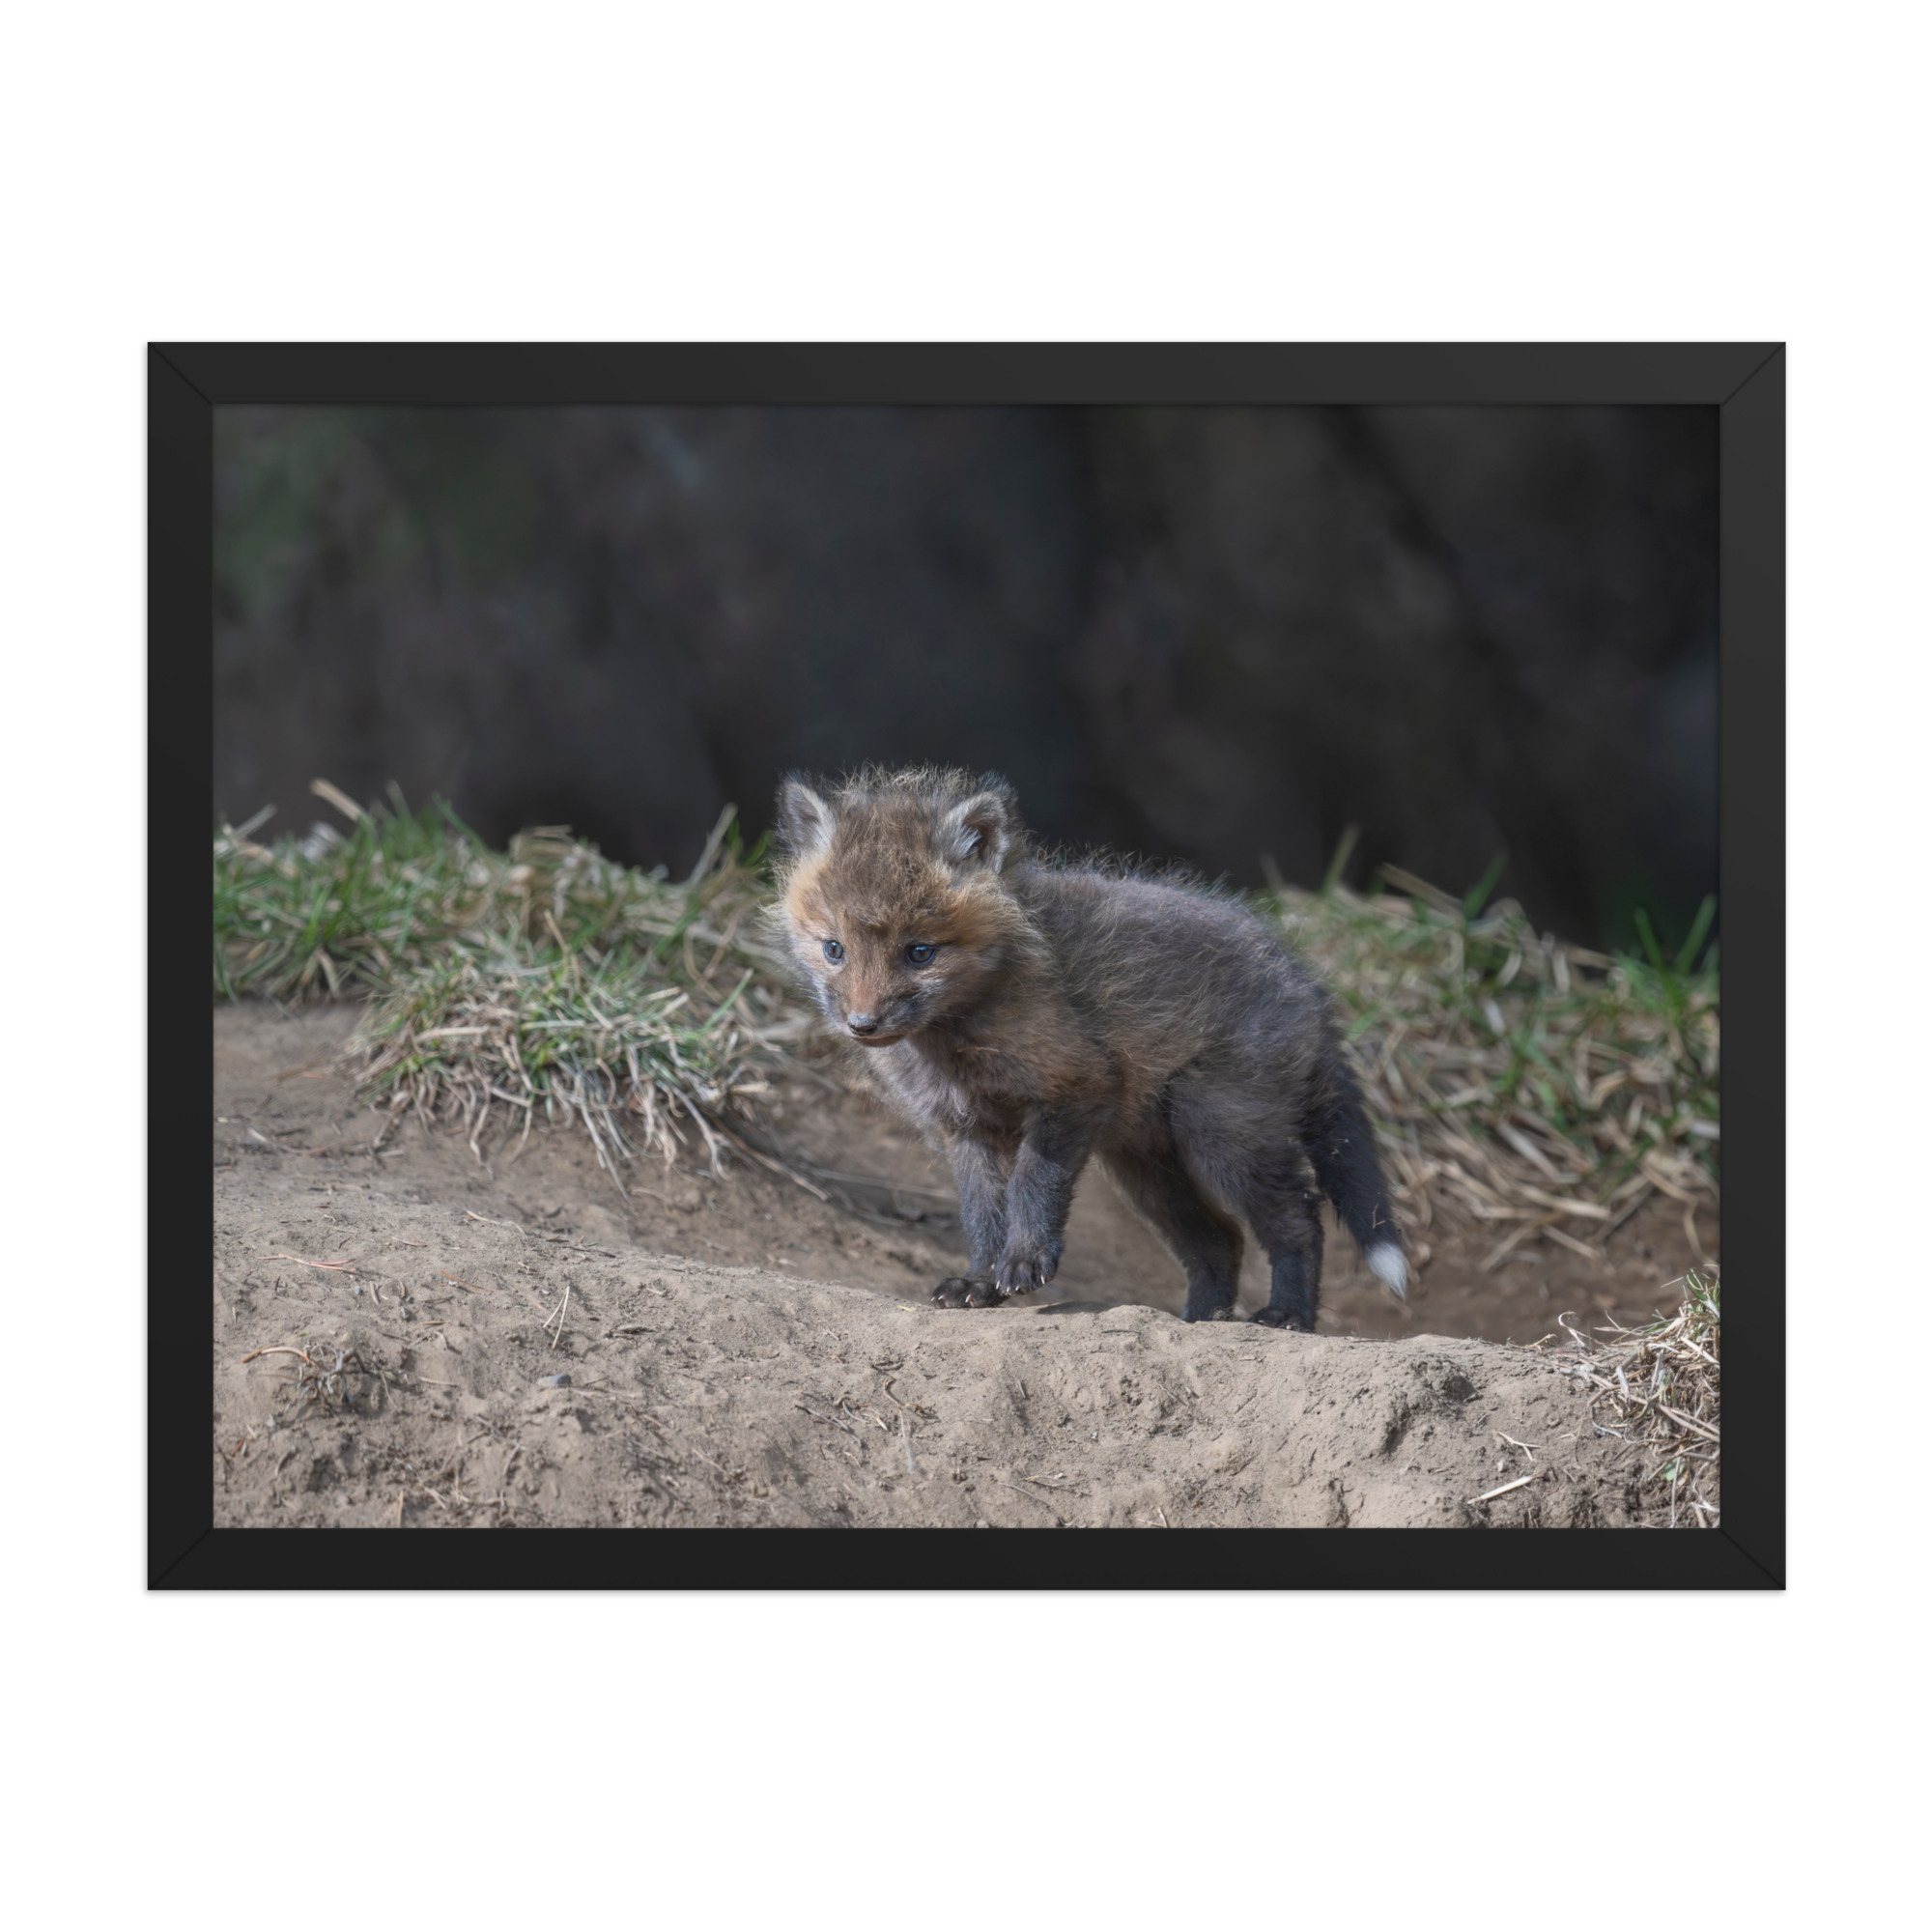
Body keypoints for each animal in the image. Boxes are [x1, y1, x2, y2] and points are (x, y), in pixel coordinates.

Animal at [772, 766, 1407, 1331]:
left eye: (920, 953)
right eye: (834, 949)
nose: (862, 1025)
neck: (958, 1042)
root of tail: (1306, 983)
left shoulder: (1073, 1087)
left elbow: (1033, 1185)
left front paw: (1025, 1262)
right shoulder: (966, 1127)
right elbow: (982, 1214)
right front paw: (979, 1282)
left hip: (1220, 1135)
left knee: (1300, 1219)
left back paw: (1288, 1315)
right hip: (1147, 1168)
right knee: (1220, 1240)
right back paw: (1201, 1320)